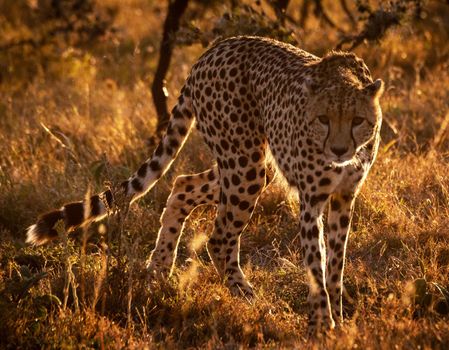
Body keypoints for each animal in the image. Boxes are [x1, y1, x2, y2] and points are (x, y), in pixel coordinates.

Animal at [26, 37, 382, 332]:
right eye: (323, 120)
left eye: (357, 121)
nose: (339, 150)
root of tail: (213, 49)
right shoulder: (311, 199)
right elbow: (316, 264)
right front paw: (322, 323)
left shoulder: (344, 197)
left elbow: (335, 262)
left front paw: (338, 317)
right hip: (244, 165)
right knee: (220, 239)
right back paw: (251, 298)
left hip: (251, 166)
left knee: (183, 186)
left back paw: (159, 270)